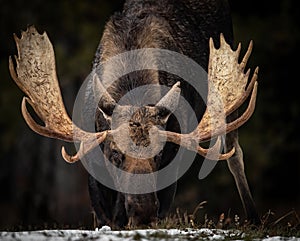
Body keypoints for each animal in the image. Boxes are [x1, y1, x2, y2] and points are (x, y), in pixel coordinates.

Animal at [8, 0, 258, 228]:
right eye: (115, 153)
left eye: (158, 154)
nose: (144, 212)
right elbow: (106, 216)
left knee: (234, 153)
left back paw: (253, 219)